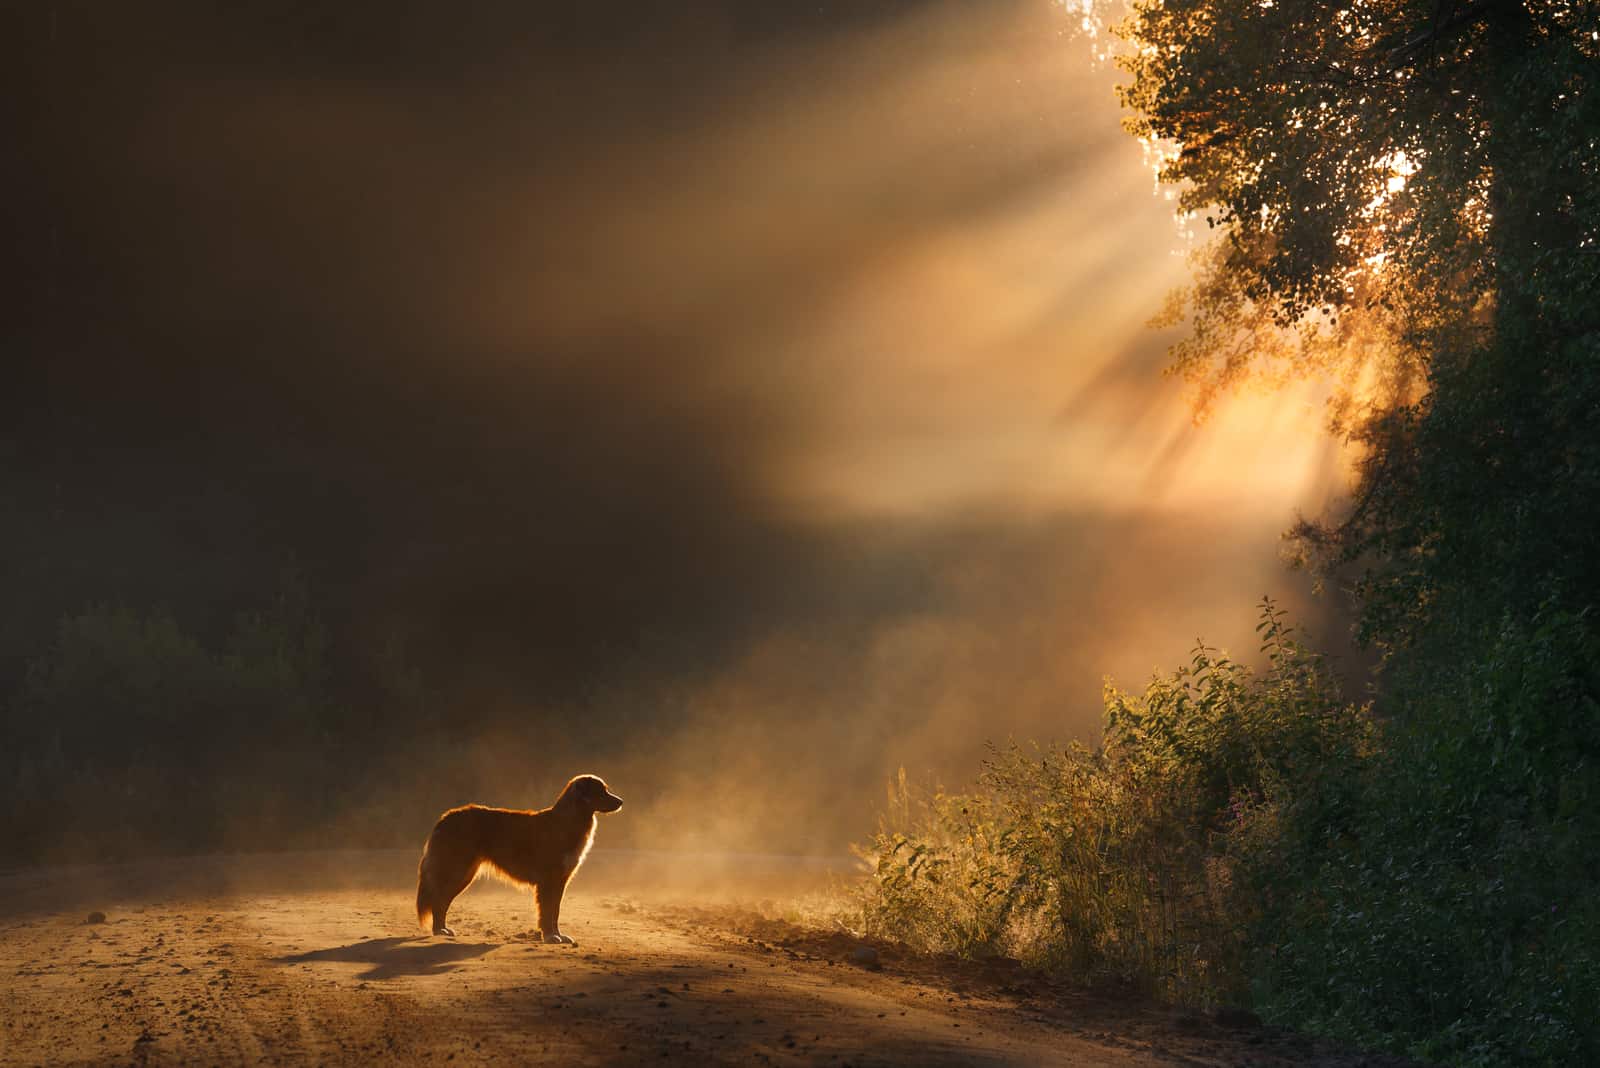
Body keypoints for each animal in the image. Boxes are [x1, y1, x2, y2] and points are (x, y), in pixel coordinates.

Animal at [412, 777, 624, 940]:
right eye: (601, 792)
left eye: (606, 790)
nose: (621, 801)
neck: (568, 821)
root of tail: (446, 817)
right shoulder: (548, 881)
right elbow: (547, 912)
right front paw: (550, 936)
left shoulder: (559, 881)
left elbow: (555, 911)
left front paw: (558, 935)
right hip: (457, 871)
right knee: (438, 900)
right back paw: (439, 930)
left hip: (464, 874)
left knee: (441, 901)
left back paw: (442, 929)